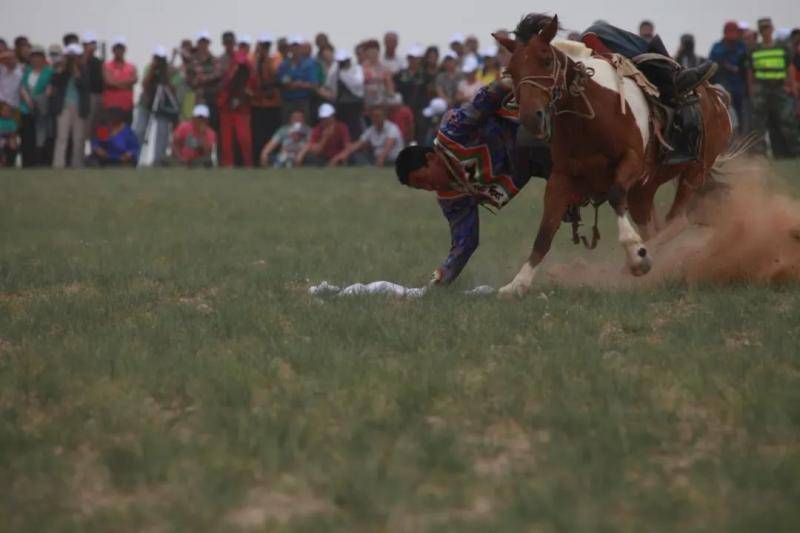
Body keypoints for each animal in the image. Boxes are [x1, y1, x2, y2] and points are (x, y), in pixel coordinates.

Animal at [496, 14, 736, 296]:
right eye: (511, 71)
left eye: (546, 60)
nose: (531, 118)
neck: (590, 115)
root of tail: (716, 97)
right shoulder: (561, 177)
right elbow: (545, 231)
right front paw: (517, 283)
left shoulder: (631, 163)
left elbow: (615, 194)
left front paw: (635, 255)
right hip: (645, 189)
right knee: (657, 226)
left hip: (695, 170)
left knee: (677, 221)